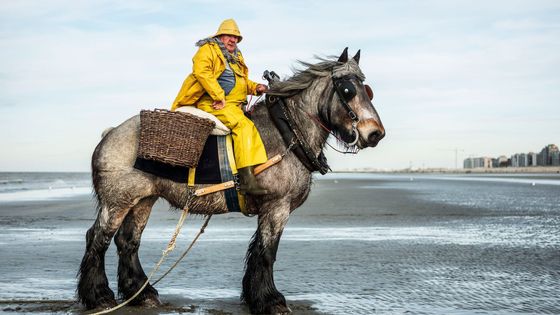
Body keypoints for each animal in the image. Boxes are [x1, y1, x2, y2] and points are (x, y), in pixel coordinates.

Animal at [76, 48, 384, 314]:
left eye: (367, 89)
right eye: (348, 90)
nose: (375, 133)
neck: (286, 132)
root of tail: (111, 133)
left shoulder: (270, 210)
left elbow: (257, 251)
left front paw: (255, 295)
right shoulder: (277, 207)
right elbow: (266, 253)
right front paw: (270, 300)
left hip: (143, 200)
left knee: (128, 241)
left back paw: (141, 292)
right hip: (117, 201)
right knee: (98, 239)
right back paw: (99, 296)